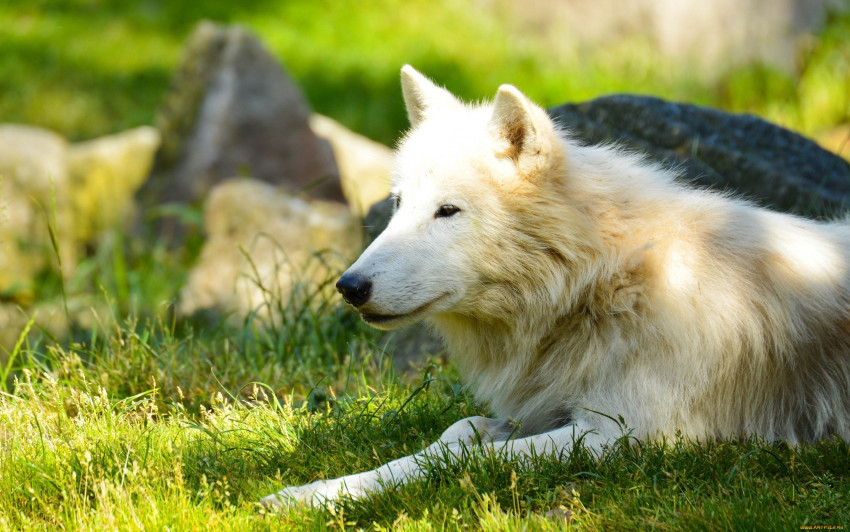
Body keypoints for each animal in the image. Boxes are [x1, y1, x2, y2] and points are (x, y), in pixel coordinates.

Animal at [262, 64, 848, 504]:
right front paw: (311, 493)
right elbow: (455, 436)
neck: (605, 283)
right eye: (399, 205)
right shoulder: (544, 410)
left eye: (448, 211)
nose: (349, 286)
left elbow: (466, 459)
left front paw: (320, 498)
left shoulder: (625, 435)